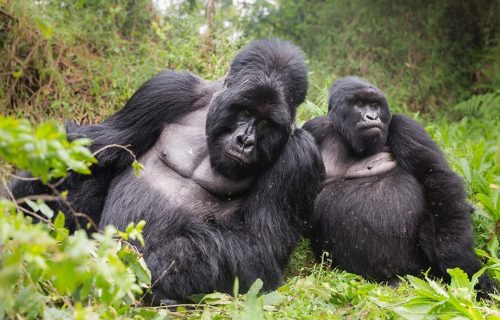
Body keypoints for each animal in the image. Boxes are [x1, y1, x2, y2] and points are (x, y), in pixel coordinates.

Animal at [10, 38, 324, 304]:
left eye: (267, 123)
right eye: (245, 111)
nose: (245, 141)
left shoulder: (300, 157)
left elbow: (260, 247)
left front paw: (150, 266)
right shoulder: (167, 89)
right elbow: (100, 142)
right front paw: (21, 198)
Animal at [302, 77, 494, 298]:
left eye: (375, 105)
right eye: (360, 104)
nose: (372, 116)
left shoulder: (405, 125)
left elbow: (437, 178)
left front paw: (461, 263)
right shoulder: (314, 128)